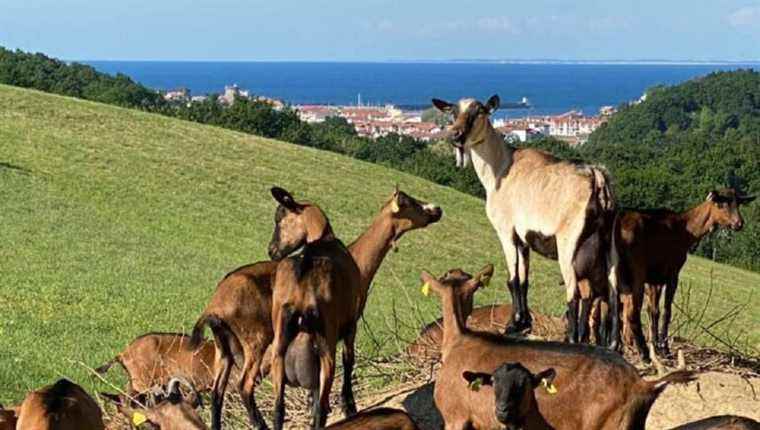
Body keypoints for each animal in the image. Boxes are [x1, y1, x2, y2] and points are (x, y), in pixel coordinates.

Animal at [268, 186, 362, 430]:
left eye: (278, 219)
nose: (271, 250)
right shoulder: (351, 324)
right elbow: (349, 359)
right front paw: (349, 405)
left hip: (279, 343)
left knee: (279, 408)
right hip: (326, 343)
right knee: (322, 408)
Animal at [434, 95, 616, 346]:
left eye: (479, 112)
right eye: (452, 112)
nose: (455, 135)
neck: (501, 168)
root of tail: (595, 176)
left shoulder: (506, 231)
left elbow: (512, 279)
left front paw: (513, 325)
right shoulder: (524, 239)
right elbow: (523, 281)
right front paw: (523, 321)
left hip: (569, 243)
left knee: (575, 293)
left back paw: (572, 339)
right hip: (608, 247)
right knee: (610, 294)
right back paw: (607, 343)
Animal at [608, 188, 756, 356]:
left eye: (738, 203)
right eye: (721, 204)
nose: (739, 223)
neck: (686, 231)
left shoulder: (655, 278)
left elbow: (654, 310)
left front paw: (655, 344)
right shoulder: (672, 272)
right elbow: (666, 311)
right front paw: (664, 348)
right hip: (636, 269)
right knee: (630, 310)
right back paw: (639, 350)